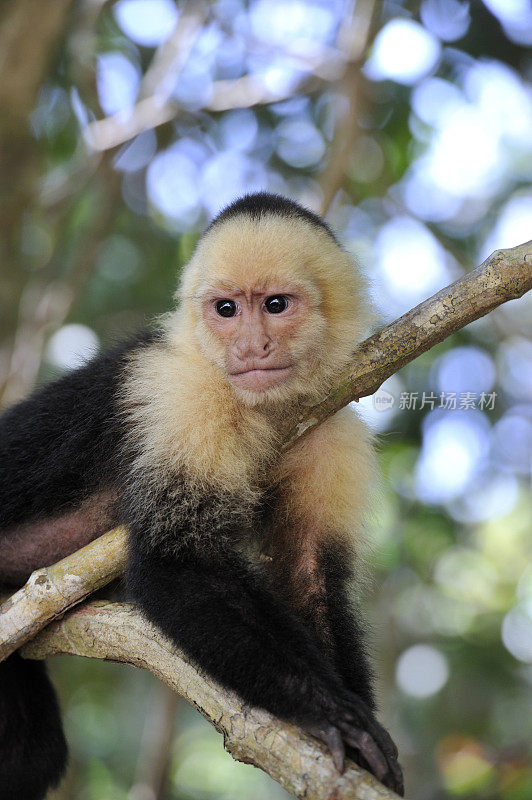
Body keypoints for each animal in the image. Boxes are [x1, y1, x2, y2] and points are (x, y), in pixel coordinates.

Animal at [0, 195, 404, 800]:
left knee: (29, 753)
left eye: (276, 305)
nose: (250, 345)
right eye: (226, 309)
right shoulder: (184, 394)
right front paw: (331, 713)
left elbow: (307, 575)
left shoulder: (332, 427)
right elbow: (176, 558)